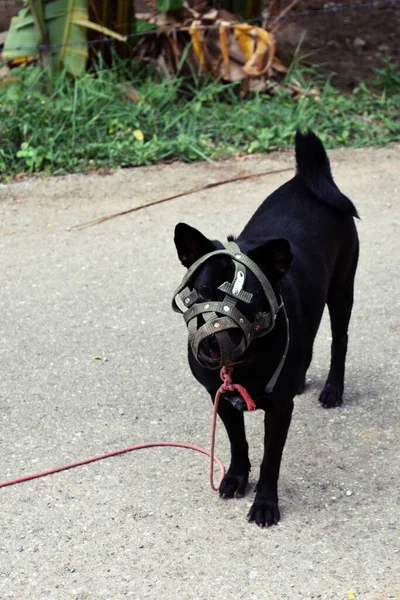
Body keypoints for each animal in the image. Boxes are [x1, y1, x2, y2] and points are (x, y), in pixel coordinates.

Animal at [173, 130, 358, 524]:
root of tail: (308, 178)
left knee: (339, 340)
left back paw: (333, 389)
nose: (214, 345)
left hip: (341, 290)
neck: (241, 362)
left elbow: (271, 461)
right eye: (203, 291)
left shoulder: (278, 412)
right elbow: (238, 444)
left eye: (249, 299)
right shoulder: (222, 401)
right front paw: (235, 477)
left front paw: (265, 503)